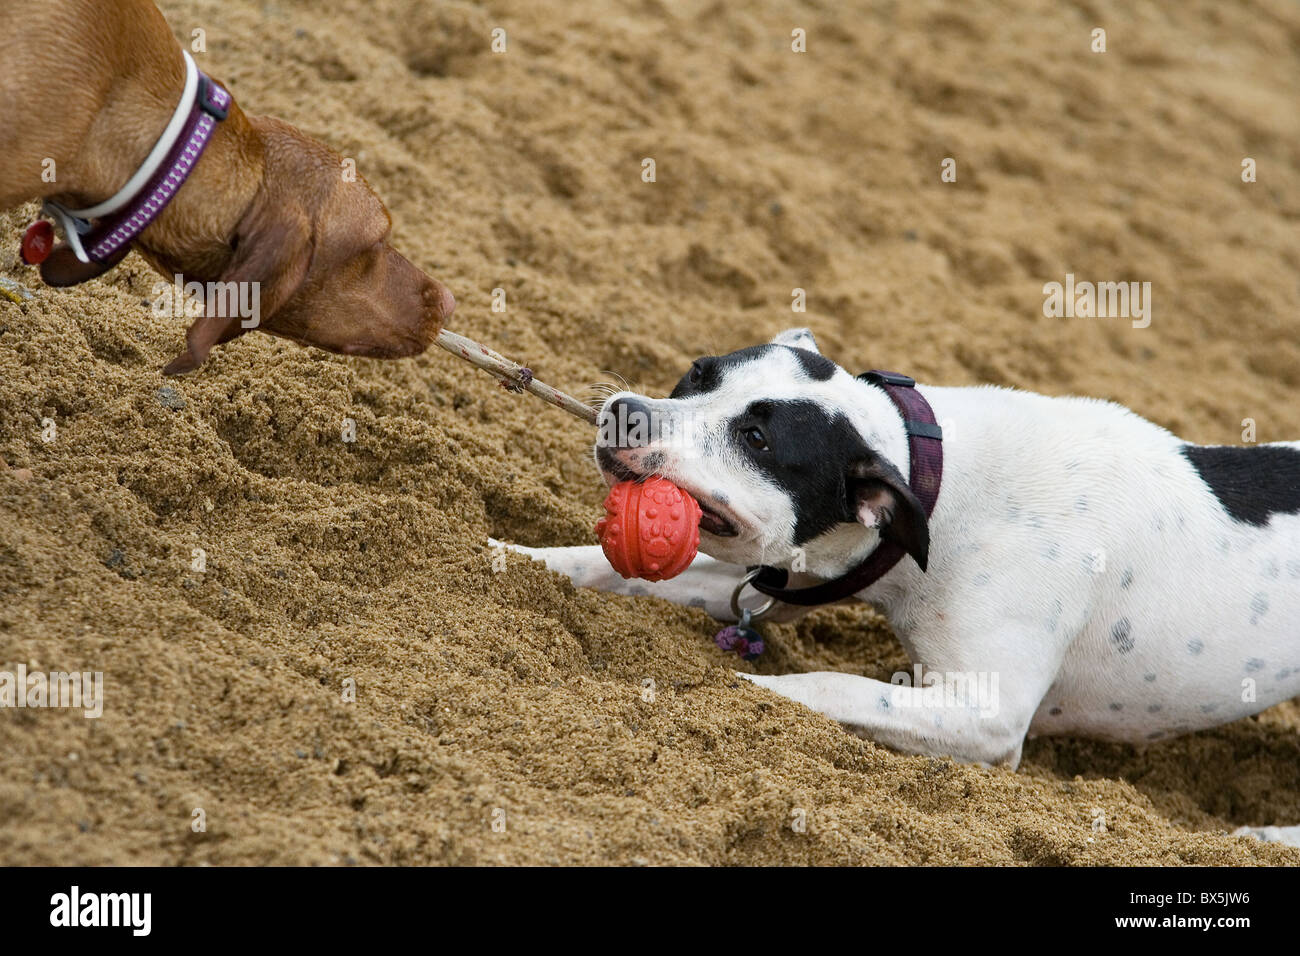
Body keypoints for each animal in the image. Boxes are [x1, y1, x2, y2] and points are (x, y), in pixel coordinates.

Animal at [493, 327, 1300, 842]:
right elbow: (595, 564)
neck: (932, 480)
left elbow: (826, 684)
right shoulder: (778, 577)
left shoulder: (985, 716)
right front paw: (499, 554)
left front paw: (739, 690)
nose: (626, 413)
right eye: (697, 374)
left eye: (757, 440)